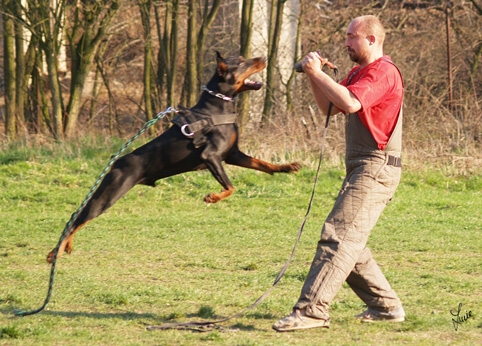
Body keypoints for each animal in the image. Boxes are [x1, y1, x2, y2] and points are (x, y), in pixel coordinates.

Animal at [47, 51, 300, 262]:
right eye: (241, 62)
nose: (264, 57)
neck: (217, 107)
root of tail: (115, 162)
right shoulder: (211, 156)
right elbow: (230, 187)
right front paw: (212, 197)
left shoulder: (232, 154)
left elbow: (262, 164)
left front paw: (287, 167)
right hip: (111, 192)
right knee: (78, 218)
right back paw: (54, 253)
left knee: (77, 217)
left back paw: (65, 247)